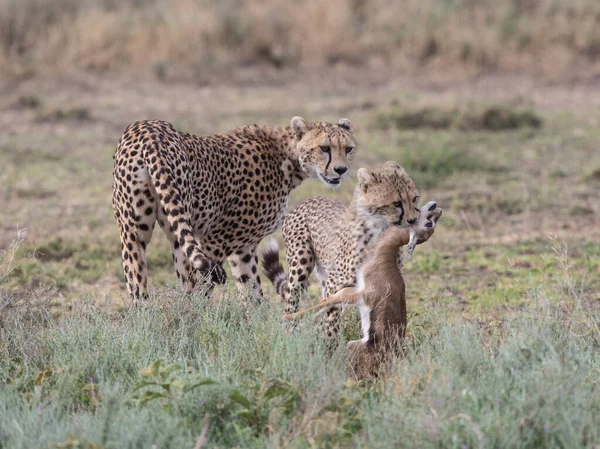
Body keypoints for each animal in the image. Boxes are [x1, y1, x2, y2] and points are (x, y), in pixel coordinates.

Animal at [112, 116, 356, 300]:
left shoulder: (243, 247)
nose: (341, 170)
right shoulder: (218, 237)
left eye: (349, 149)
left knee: (138, 283)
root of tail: (148, 129)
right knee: (194, 290)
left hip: (137, 230)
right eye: (324, 148)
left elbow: (252, 292)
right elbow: (210, 289)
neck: (287, 158)